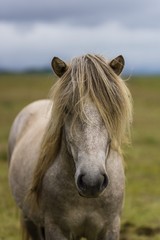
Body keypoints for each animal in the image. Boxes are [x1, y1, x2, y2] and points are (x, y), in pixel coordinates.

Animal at [7, 54, 132, 240]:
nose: (91, 182)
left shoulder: (110, 228)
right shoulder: (55, 229)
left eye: (111, 110)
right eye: (66, 109)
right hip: (29, 219)